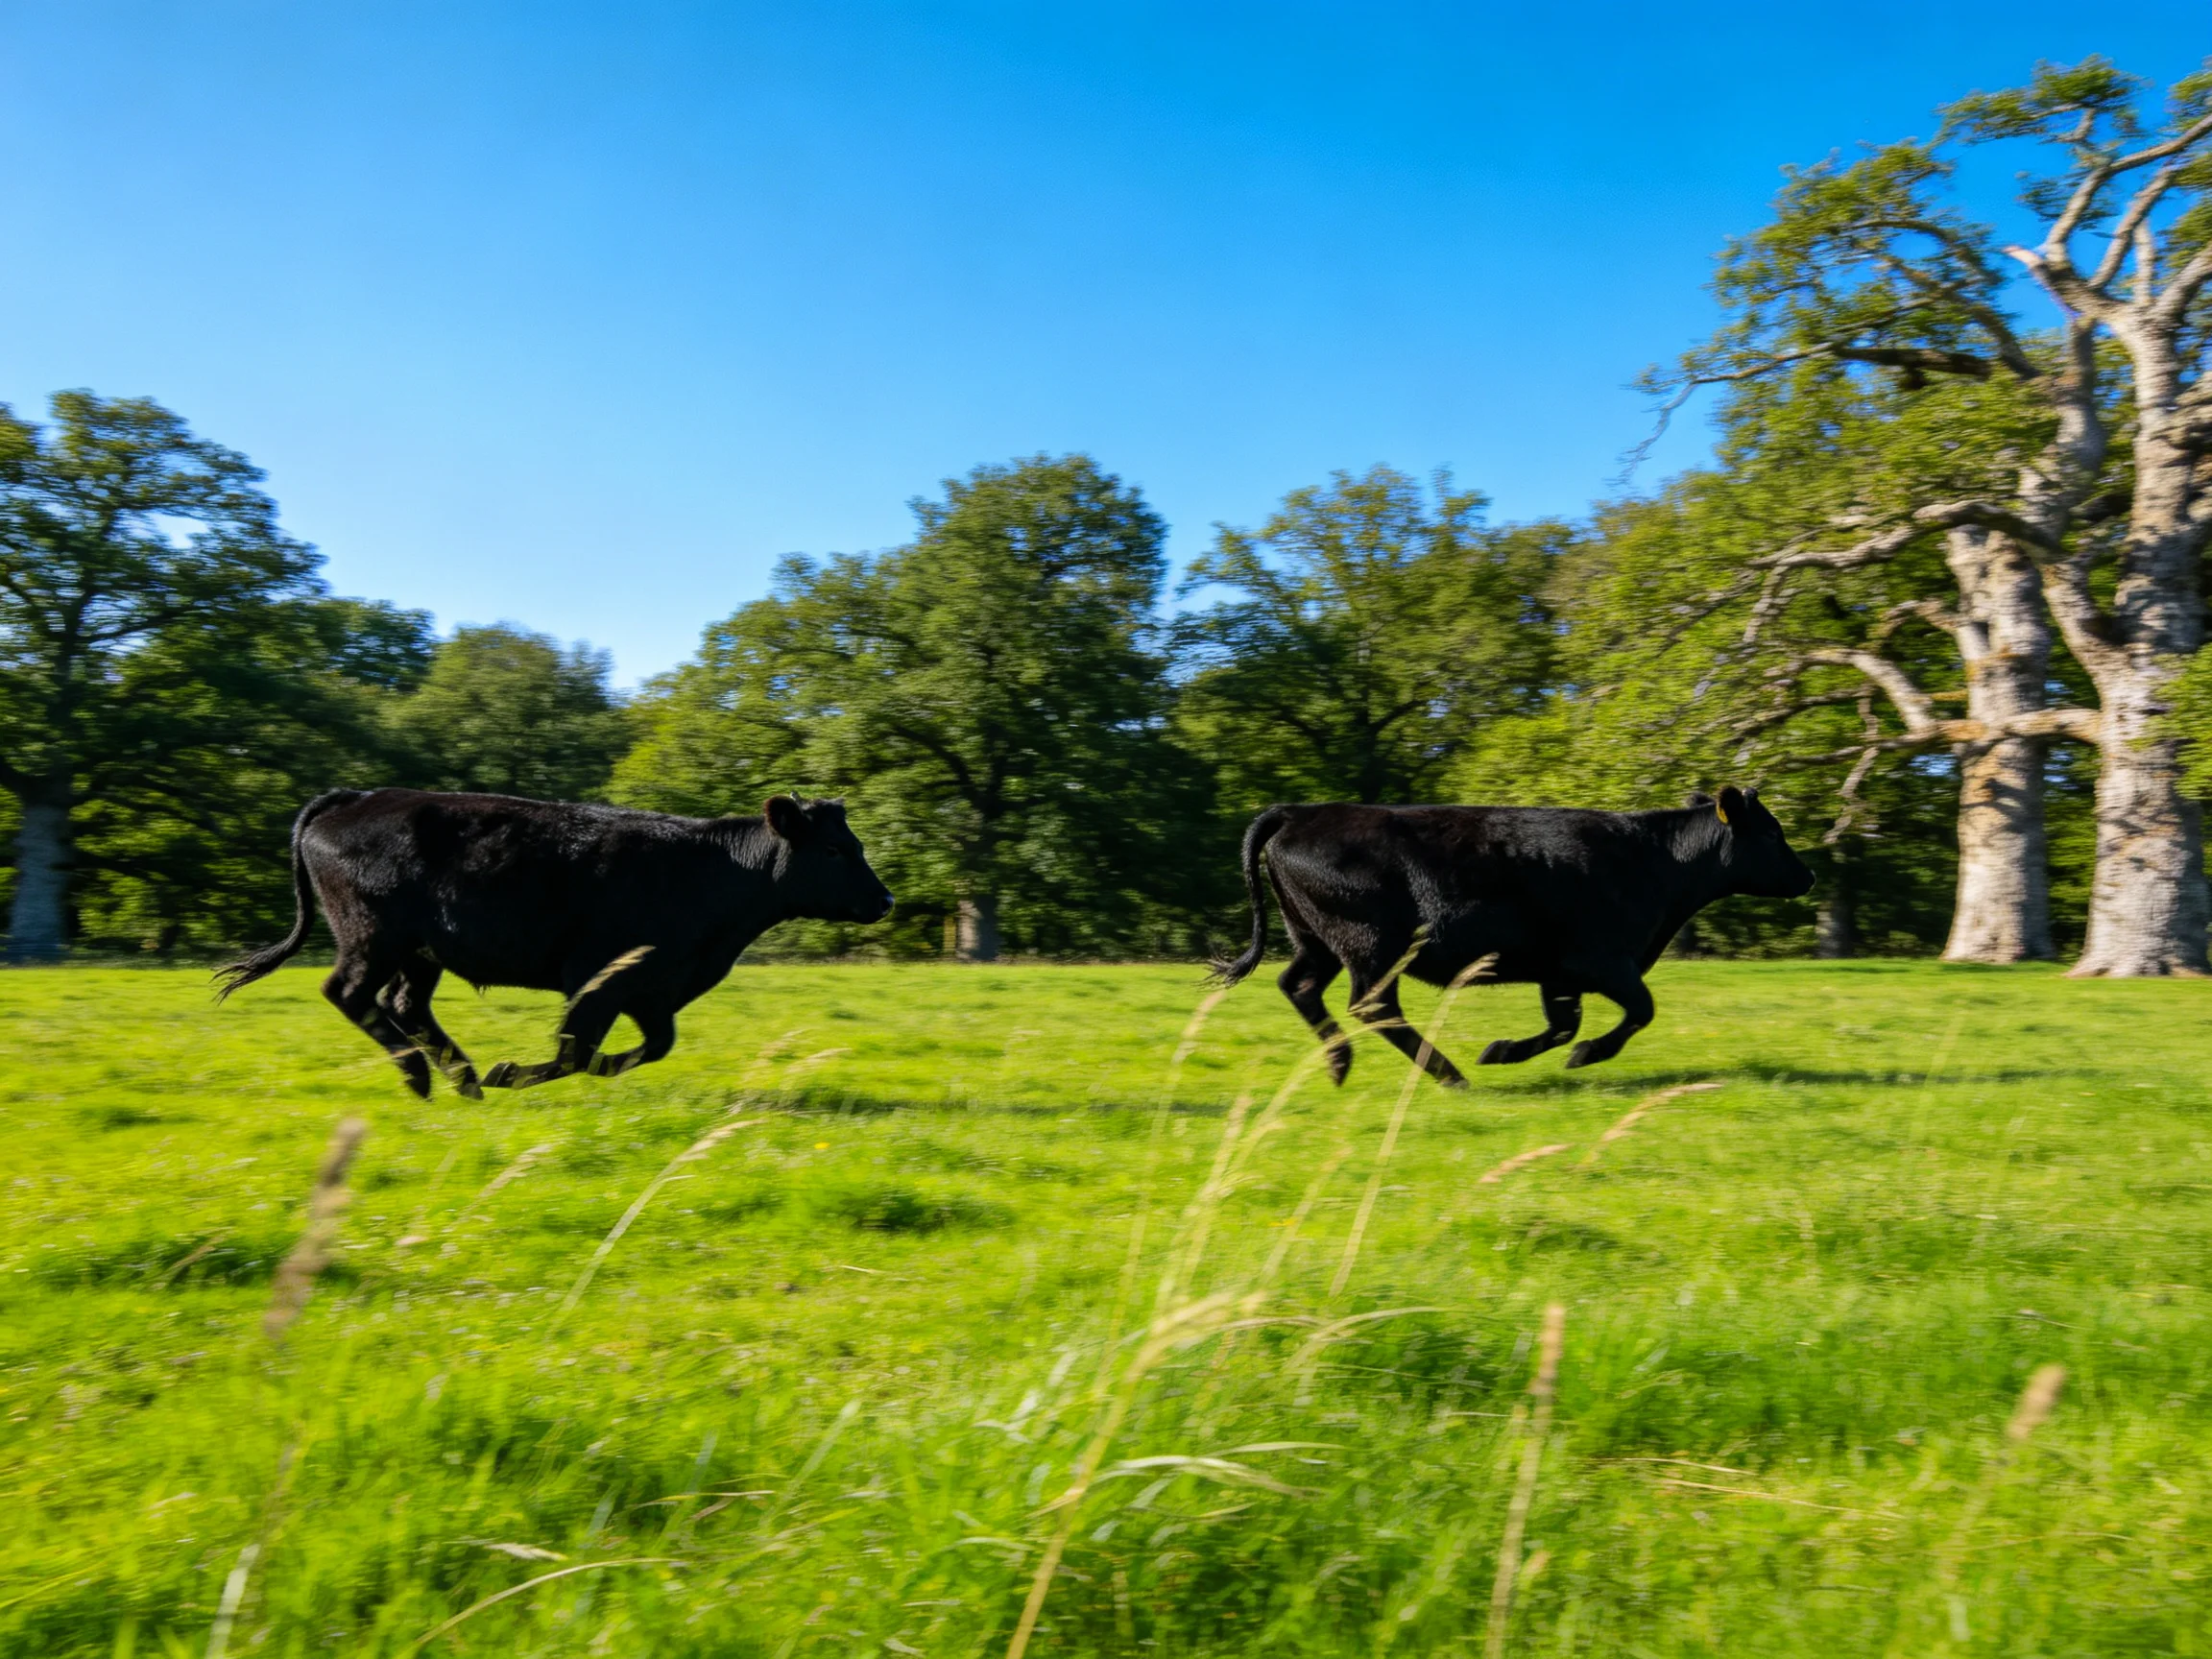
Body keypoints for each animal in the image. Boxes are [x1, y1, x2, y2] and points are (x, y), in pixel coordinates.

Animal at [214, 789, 894, 1098]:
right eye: (834, 850)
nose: (886, 900)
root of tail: (357, 796)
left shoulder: (651, 989)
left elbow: (648, 1048)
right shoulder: (594, 976)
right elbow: (574, 1051)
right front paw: (512, 1072)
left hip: (421, 953)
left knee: (404, 1004)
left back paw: (460, 1076)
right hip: (372, 937)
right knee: (349, 993)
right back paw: (422, 1075)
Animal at [1212, 787, 1814, 1086]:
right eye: (1771, 833)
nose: (1808, 876)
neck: (1653, 861)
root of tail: (1301, 812)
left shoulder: (1560, 972)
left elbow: (1562, 1025)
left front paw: (1503, 1051)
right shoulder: (1604, 961)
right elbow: (1639, 1011)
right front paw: (1587, 1056)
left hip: (1316, 940)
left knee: (1300, 986)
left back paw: (1340, 1065)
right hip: (1372, 945)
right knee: (1373, 1005)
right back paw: (1446, 1073)